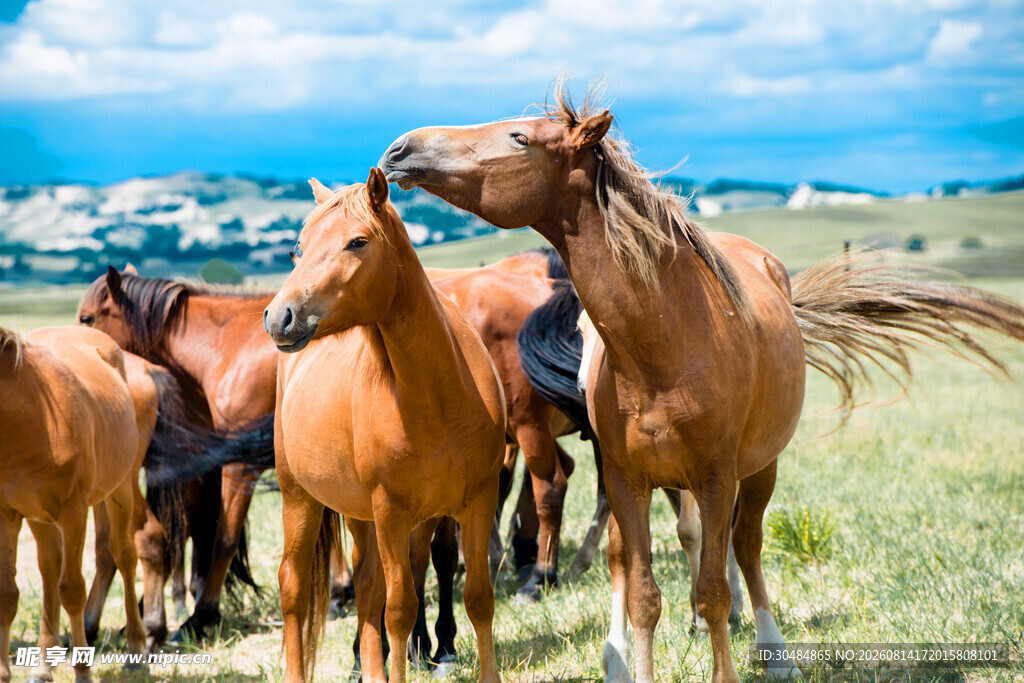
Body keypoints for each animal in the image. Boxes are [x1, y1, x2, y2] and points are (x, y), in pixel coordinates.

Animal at [0, 325, 146, 683]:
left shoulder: (74, 513)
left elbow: (73, 591)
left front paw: (82, 671)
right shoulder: (7, 515)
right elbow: (7, 595)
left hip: (120, 490)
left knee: (125, 556)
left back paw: (136, 650)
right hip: (38, 517)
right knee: (50, 569)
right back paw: (43, 666)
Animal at [263, 170, 506, 683]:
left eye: (357, 242)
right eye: (299, 247)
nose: (279, 316)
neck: (438, 396)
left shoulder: (477, 501)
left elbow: (477, 597)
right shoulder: (391, 514)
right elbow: (400, 611)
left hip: (360, 516)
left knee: (367, 586)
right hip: (299, 498)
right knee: (294, 588)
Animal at [377, 81, 1024, 682]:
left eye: (519, 138)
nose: (399, 148)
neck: (665, 346)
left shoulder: (716, 477)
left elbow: (713, 589)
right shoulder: (628, 481)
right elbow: (643, 594)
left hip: (760, 468)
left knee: (747, 547)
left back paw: (771, 645)